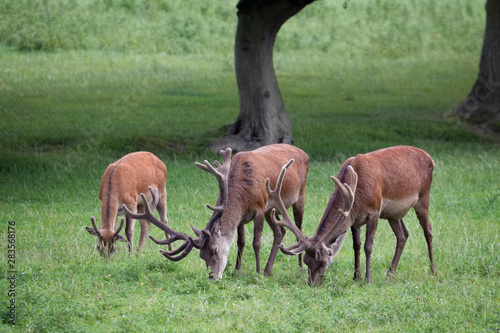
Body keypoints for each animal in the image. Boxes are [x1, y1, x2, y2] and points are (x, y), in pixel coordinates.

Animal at [123, 143, 308, 278]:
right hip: (274, 210)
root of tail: (303, 153)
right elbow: (241, 242)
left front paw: (256, 272)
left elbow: (256, 243)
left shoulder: (261, 208)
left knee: (299, 229)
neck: (244, 193)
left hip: (299, 197)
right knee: (280, 231)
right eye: (201, 256)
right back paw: (269, 270)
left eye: (214, 250)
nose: (212, 277)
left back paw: (299, 267)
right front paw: (237, 270)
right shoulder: (243, 217)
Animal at [268, 145, 436, 286]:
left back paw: (433, 271)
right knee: (403, 235)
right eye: (307, 262)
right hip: (393, 214)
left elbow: (368, 246)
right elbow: (356, 246)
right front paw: (356, 277)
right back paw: (390, 275)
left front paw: (368, 279)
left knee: (428, 231)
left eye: (322, 262)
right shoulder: (354, 219)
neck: (357, 197)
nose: (311, 284)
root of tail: (430, 158)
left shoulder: (374, 211)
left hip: (423, 197)